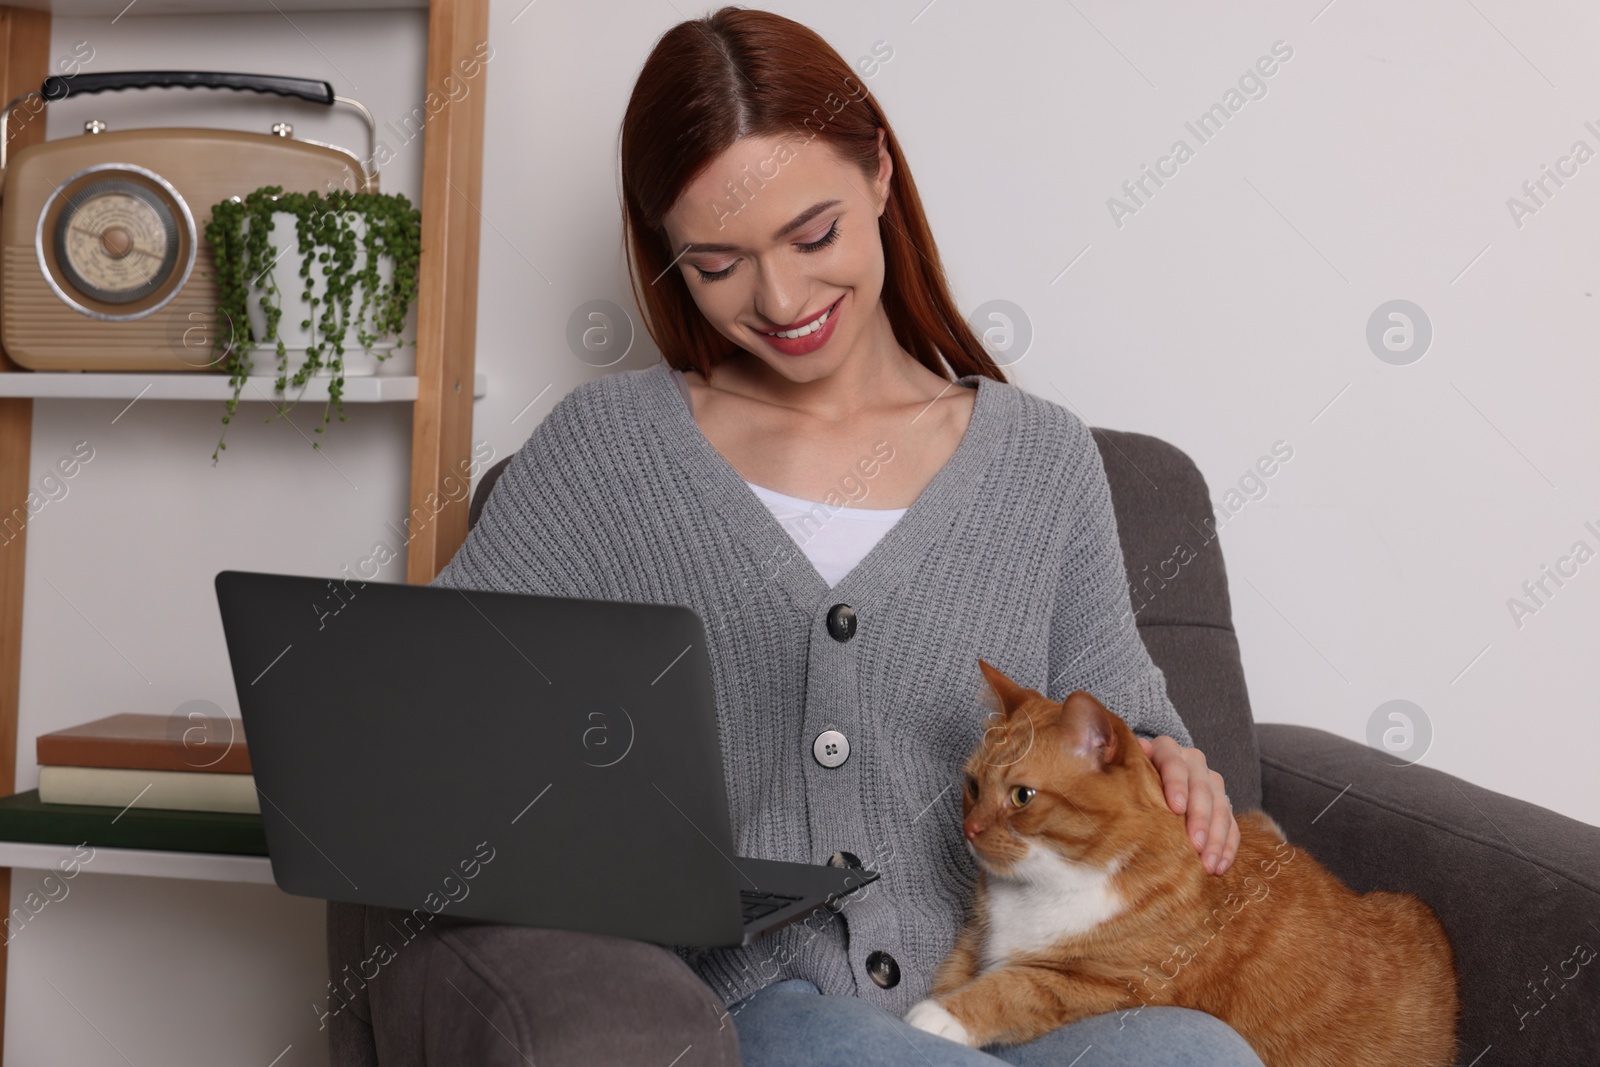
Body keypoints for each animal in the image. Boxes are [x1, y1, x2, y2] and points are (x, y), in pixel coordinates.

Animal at [908, 659, 1459, 1067]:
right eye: (972, 786)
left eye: (1022, 797)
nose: (969, 830)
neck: (1042, 885)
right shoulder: (977, 940)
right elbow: (954, 972)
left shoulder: (1103, 985)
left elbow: (1008, 988)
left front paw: (938, 1018)